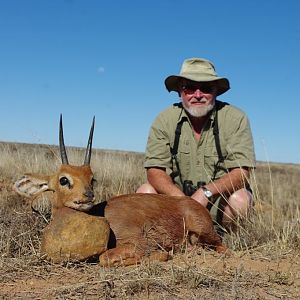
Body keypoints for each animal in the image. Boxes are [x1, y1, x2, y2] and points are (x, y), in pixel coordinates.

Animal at [14, 116, 230, 266]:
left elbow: (106, 258)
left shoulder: (137, 243)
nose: (88, 196)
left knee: (224, 247)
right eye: (64, 179)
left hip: (207, 233)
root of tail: (192, 203)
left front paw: (162, 254)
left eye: (92, 178)